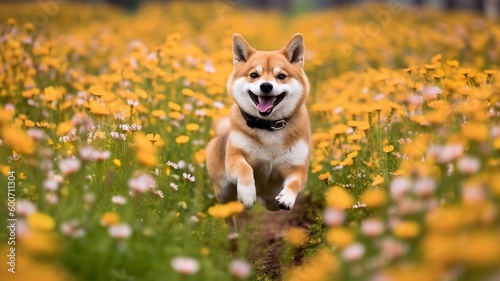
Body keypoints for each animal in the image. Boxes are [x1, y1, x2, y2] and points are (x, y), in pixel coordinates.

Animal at [206, 33, 308, 210]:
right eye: (254, 75)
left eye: (281, 76)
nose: (266, 86)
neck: (269, 127)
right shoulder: (234, 156)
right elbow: (245, 168)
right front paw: (247, 193)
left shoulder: (298, 168)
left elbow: (295, 182)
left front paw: (287, 197)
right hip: (223, 192)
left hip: (269, 201)